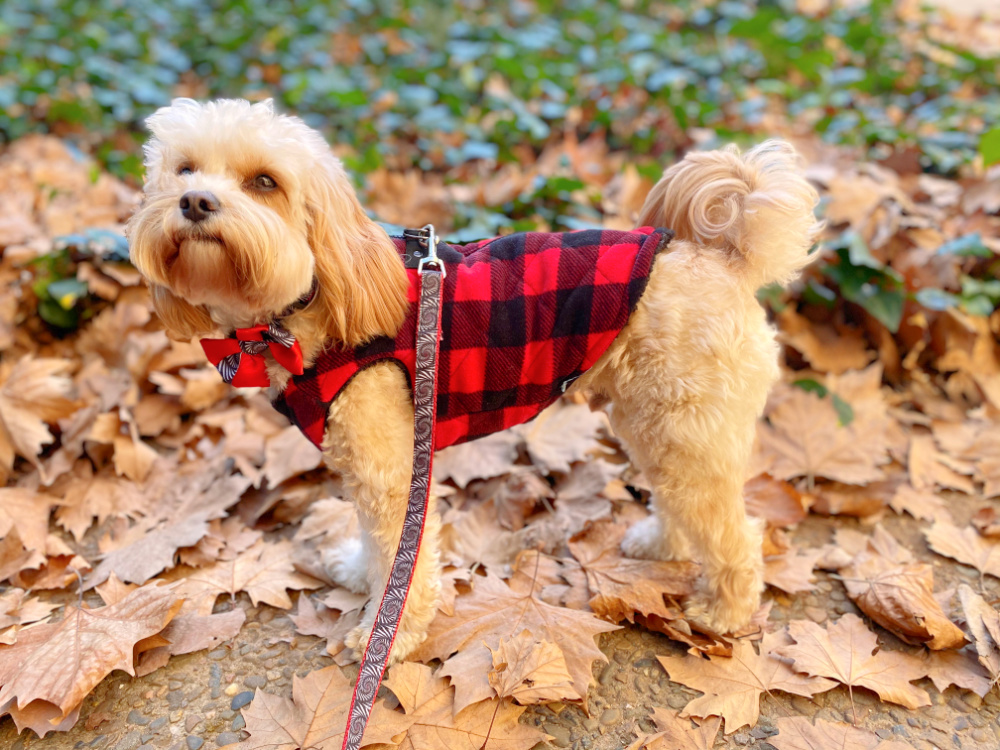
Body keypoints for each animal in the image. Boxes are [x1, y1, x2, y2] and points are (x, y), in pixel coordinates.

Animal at [127, 97, 820, 660]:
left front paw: (387, 637)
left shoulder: (390, 469)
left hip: (685, 428)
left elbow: (402, 559)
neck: (311, 303)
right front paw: (359, 571)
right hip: (658, 425)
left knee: (734, 530)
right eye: (184, 170)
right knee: (684, 502)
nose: (195, 202)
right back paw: (660, 543)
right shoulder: (371, 462)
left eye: (265, 182)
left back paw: (724, 611)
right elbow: (378, 546)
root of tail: (722, 257)